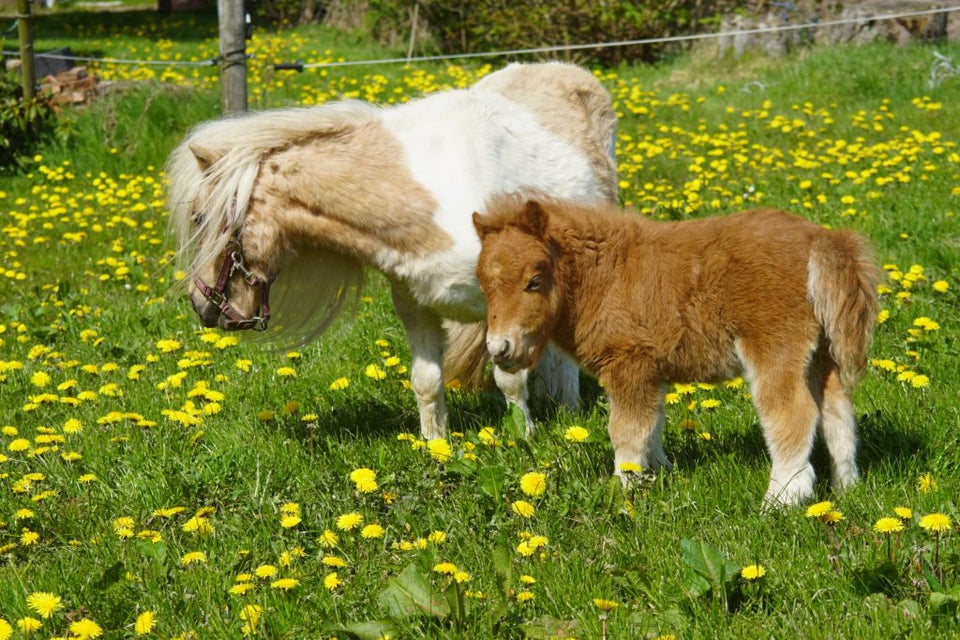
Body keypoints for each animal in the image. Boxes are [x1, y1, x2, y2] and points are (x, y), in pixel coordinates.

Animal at [168, 62, 620, 440]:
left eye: (199, 218)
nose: (199, 304)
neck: (437, 201)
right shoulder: (416, 307)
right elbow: (427, 382)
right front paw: (436, 447)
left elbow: (509, 378)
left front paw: (523, 439)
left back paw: (570, 410)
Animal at [468, 195, 880, 504]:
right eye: (484, 285)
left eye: (534, 281)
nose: (499, 348)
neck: (607, 275)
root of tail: (820, 240)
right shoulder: (650, 371)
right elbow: (651, 427)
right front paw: (659, 474)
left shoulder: (628, 362)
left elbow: (626, 432)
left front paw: (623, 490)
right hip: (820, 355)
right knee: (838, 412)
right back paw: (847, 490)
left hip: (774, 350)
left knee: (792, 416)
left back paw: (780, 501)